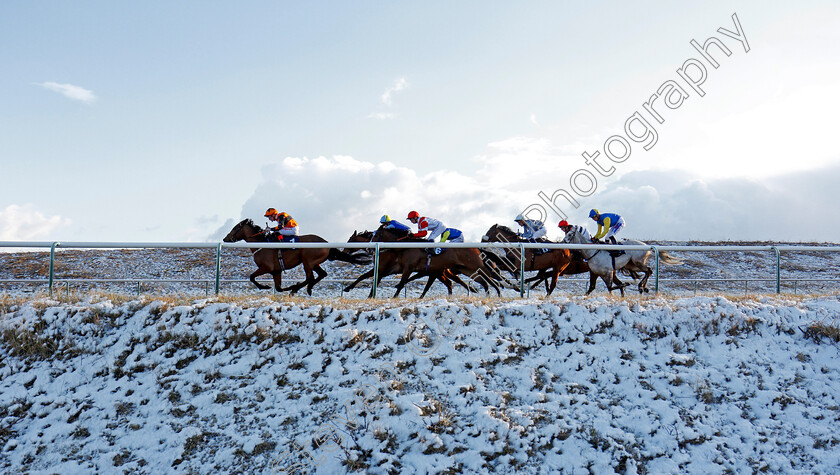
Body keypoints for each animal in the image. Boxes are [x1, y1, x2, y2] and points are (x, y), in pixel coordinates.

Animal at [221, 218, 370, 294]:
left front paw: (265, 287)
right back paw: (307, 289)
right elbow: (278, 288)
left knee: (310, 277)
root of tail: (326, 243)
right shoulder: (276, 271)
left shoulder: (266, 268)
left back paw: (297, 288)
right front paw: (287, 286)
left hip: (307, 261)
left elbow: (252, 277)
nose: (225, 238)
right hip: (314, 262)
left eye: (235, 228)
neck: (262, 244)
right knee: (321, 274)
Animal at [556, 229, 684, 296]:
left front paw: (624, 285)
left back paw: (641, 286)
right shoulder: (596, 273)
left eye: (569, 234)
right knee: (649, 271)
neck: (592, 251)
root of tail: (646, 245)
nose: (561, 243)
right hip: (632, 265)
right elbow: (595, 287)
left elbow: (611, 287)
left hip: (638, 262)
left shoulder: (608, 272)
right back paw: (643, 287)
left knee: (648, 270)